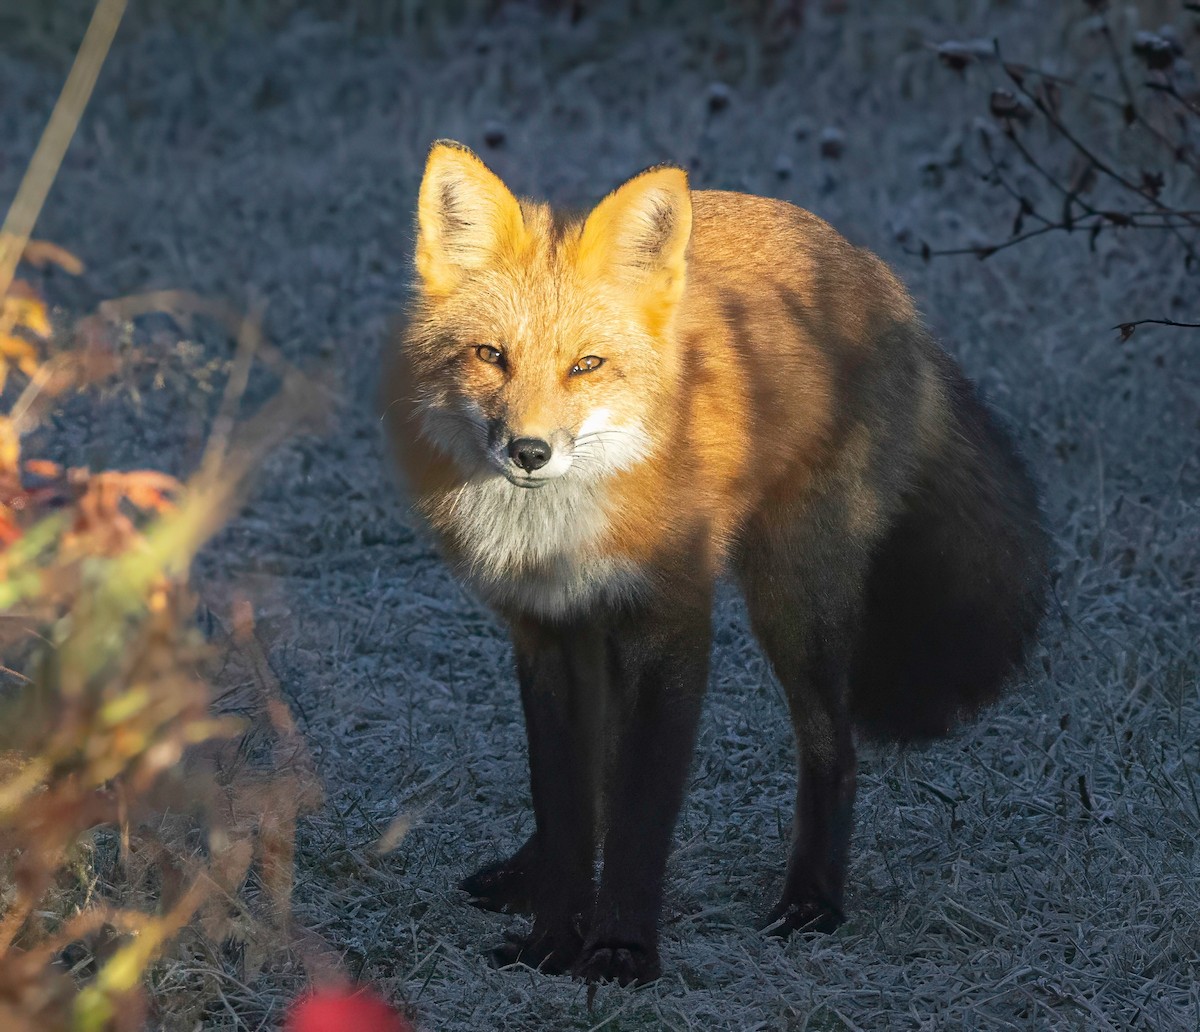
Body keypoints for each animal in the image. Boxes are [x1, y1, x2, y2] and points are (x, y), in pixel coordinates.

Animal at [381, 139, 1050, 986]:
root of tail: (878, 277)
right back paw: (525, 878)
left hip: (794, 601)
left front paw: (621, 949)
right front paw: (553, 939)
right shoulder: (549, 634)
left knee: (835, 751)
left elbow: (641, 810)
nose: (528, 451)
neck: (564, 530)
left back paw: (813, 902)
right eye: (490, 356)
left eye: (586, 365)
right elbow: (565, 800)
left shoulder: (671, 624)